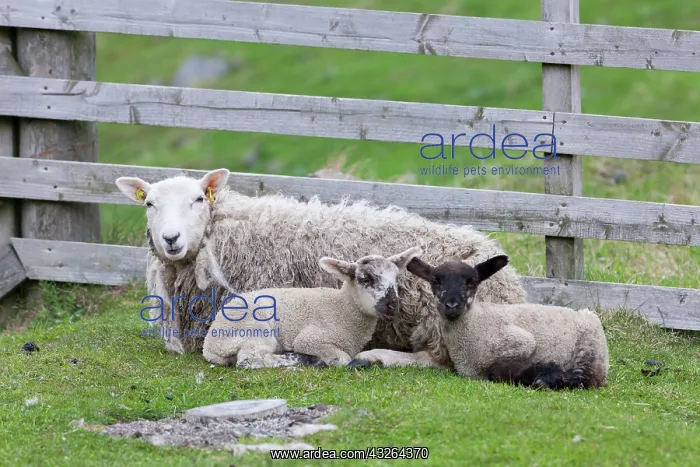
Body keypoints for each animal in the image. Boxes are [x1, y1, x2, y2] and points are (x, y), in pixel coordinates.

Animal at [202, 246, 423, 368]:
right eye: (365, 278)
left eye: (396, 278)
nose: (392, 305)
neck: (343, 308)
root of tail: (209, 345)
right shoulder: (310, 339)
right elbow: (343, 358)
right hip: (254, 330)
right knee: (249, 360)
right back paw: (297, 360)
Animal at [403, 255, 609, 389]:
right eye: (435, 281)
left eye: (471, 282)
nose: (452, 304)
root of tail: (588, 315)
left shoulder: (522, 343)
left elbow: (498, 371)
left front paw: (544, 375)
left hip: (589, 353)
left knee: (586, 379)